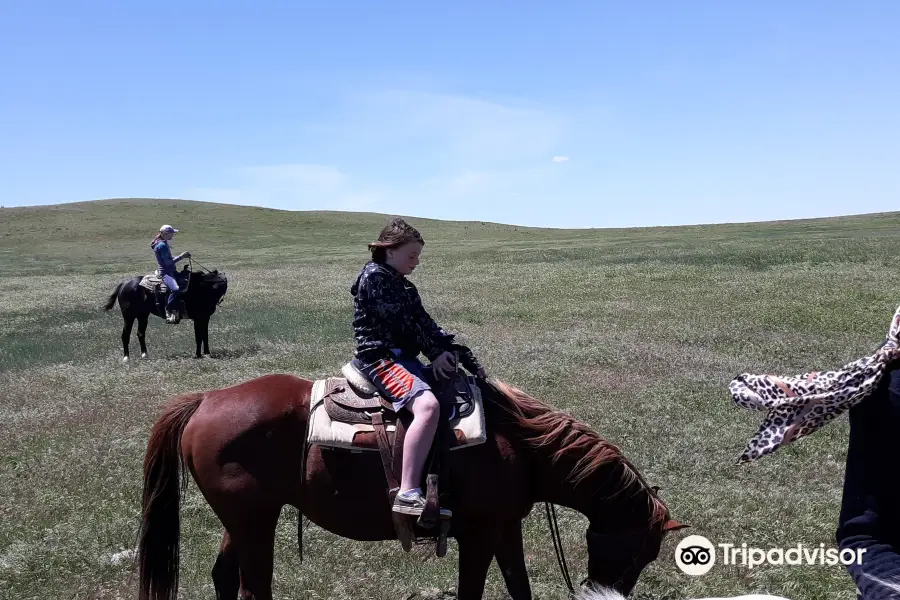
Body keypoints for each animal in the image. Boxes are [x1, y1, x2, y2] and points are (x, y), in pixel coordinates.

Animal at [134, 372, 684, 596]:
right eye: (641, 553)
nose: (607, 594)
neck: (521, 446)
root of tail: (205, 399)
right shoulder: (478, 536)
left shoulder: (505, 529)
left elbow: (519, 587)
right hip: (255, 524)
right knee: (253, 587)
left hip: (244, 521)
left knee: (225, 578)